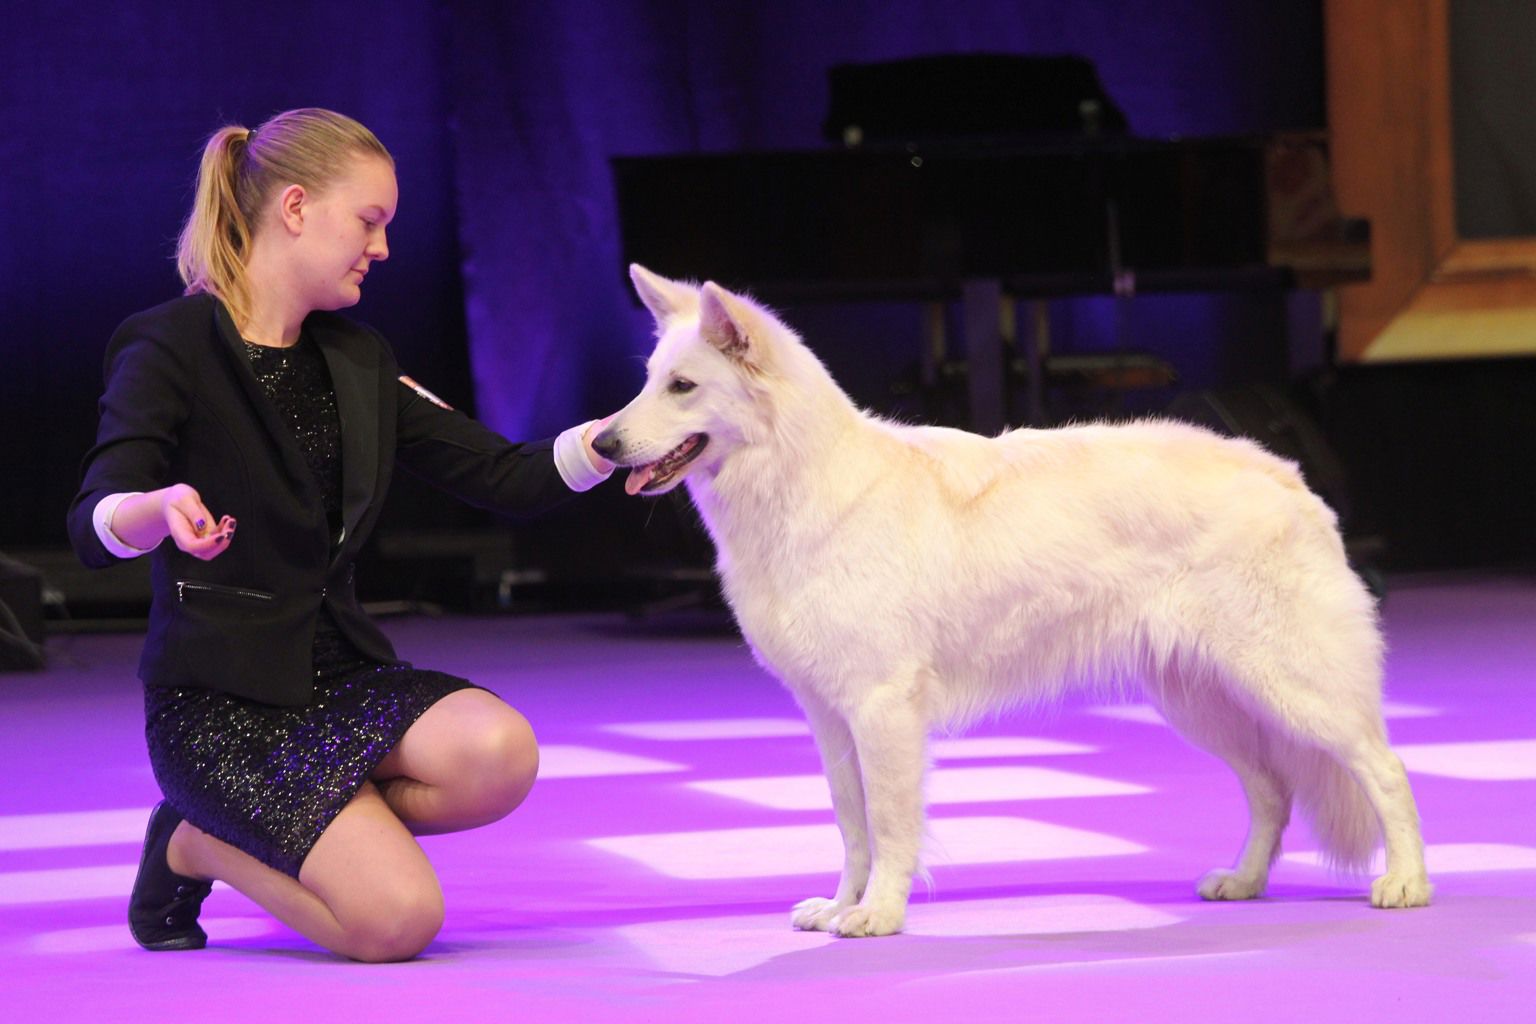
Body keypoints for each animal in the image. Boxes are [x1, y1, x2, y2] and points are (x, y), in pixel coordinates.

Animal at [592, 264, 1431, 939]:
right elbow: (852, 826)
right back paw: (1246, 881)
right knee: (1273, 791)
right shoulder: (831, 719)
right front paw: (840, 906)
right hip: (1201, 701)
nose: (600, 445)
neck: (804, 483)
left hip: (1291, 688)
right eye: (647, 380)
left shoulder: (883, 710)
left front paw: (879, 915)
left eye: (682, 387)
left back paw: (1407, 883)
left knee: (1385, 768)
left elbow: (890, 825)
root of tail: (1285, 473)